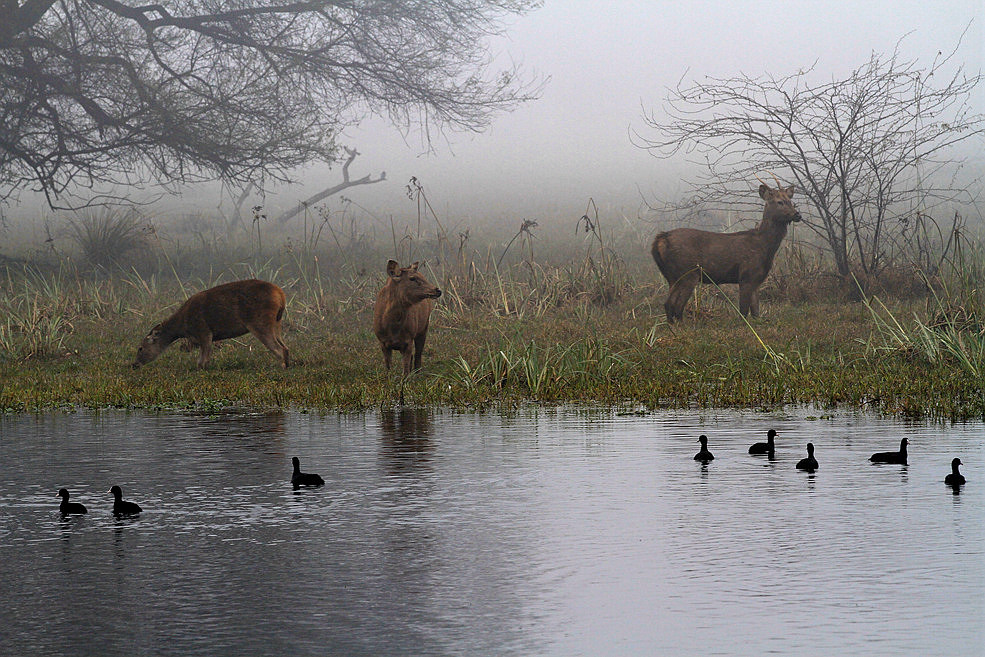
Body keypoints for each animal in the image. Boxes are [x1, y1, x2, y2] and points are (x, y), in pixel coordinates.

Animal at [131, 278, 286, 368]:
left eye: (140, 348)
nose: (134, 364)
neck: (182, 327)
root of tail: (280, 294)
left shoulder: (203, 331)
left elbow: (202, 361)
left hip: (259, 322)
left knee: (279, 349)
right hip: (276, 322)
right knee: (285, 347)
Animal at [648, 182, 804, 322]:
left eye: (791, 201)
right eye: (779, 202)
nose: (797, 215)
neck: (765, 246)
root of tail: (660, 239)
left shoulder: (756, 278)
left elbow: (756, 312)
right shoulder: (746, 275)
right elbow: (743, 312)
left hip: (672, 276)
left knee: (668, 304)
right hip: (688, 272)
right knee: (676, 305)